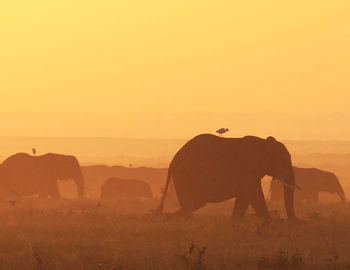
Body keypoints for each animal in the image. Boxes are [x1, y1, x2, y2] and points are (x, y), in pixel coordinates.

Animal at [156, 134, 298, 220]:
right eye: (283, 160)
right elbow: (253, 194)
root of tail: (173, 160)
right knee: (190, 203)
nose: (293, 222)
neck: (263, 143)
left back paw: (163, 218)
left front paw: (234, 223)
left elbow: (244, 197)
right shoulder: (246, 169)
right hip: (184, 175)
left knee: (196, 202)